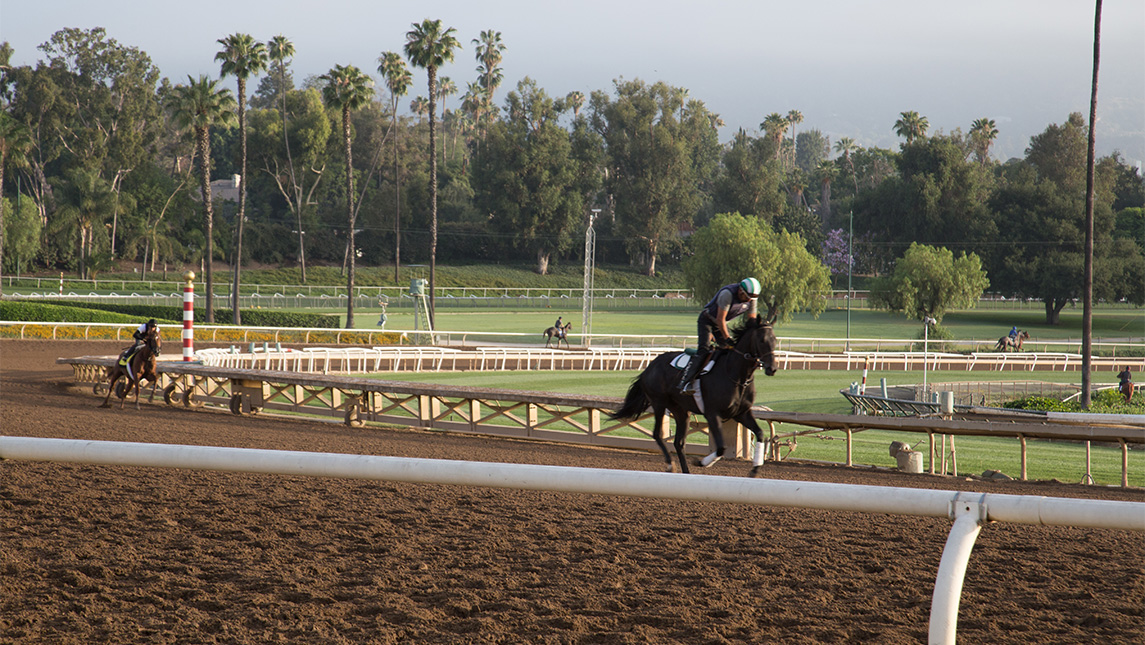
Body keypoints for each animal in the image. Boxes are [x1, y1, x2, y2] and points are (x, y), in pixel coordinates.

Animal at [609, 316, 778, 476]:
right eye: (762, 340)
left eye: (775, 340)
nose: (772, 368)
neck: (736, 375)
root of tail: (649, 367)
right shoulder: (712, 413)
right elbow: (721, 447)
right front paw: (701, 462)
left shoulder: (741, 413)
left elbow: (760, 433)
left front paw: (755, 469)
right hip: (659, 403)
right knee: (657, 434)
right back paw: (670, 464)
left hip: (681, 411)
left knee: (679, 442)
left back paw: (686, 471)